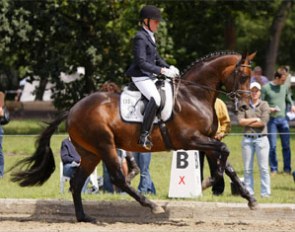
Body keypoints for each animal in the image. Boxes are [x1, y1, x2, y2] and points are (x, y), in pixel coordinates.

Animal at [11, 51, 256, 222]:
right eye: (243, 75)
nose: (245, 106)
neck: (194, 95)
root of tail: (73, 109)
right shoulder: (191, 140)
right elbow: (224, 154)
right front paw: (209, 181)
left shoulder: (206, 141)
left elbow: (228, 164)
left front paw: (250, 198)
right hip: (105, 146)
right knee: (118, 178)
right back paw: (152, 205)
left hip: (91, 153)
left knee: (77, 182)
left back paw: (84, 217)